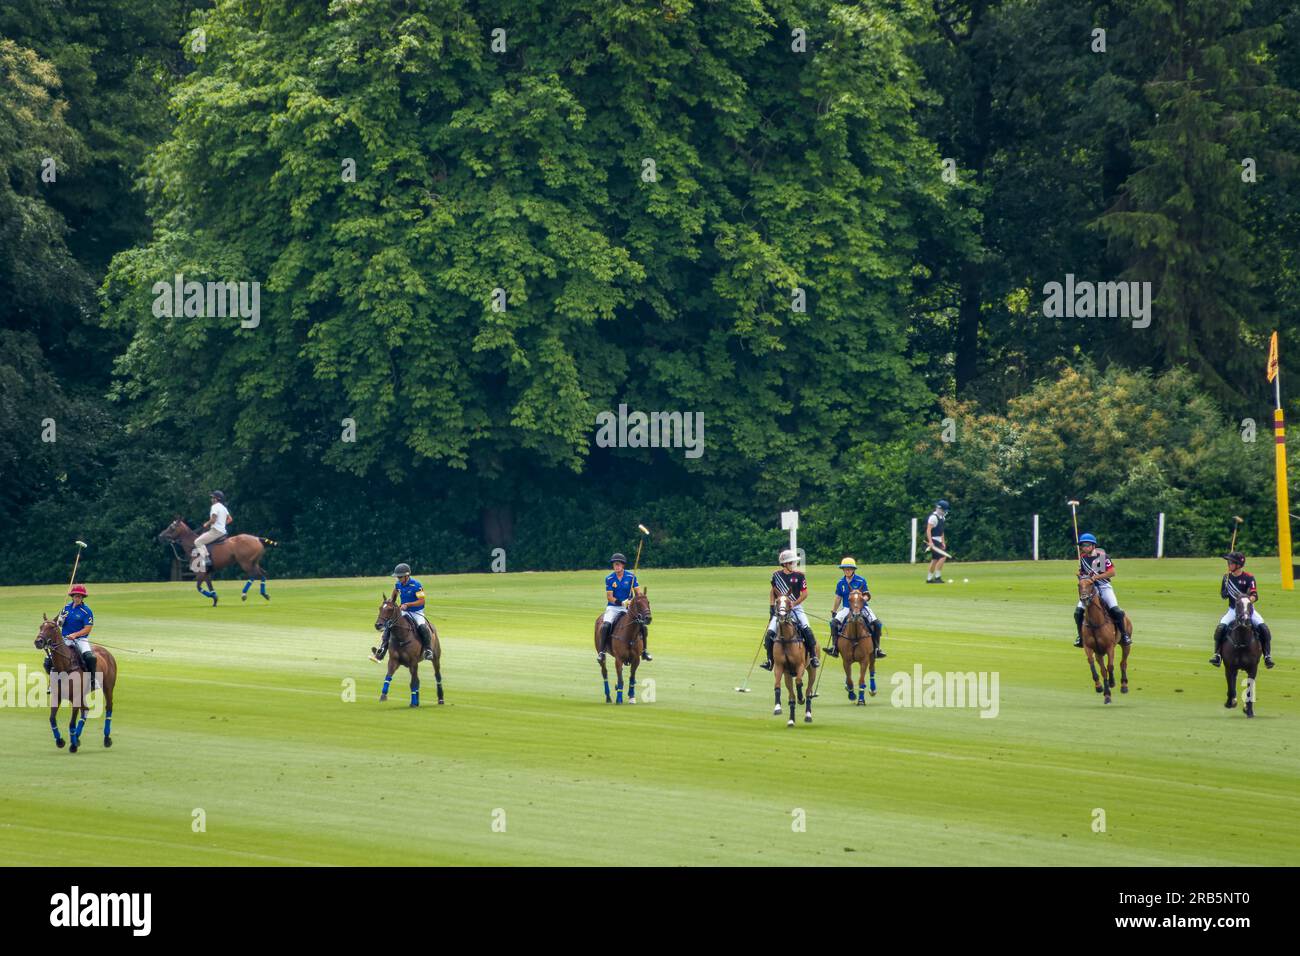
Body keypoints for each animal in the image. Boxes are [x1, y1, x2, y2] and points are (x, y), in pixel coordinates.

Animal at [34, 621, 116, 754]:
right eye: (41, 626)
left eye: (52, 627)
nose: (38, 641)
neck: (64, 666)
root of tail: (106, 652)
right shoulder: (57, 697)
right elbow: (52, 719)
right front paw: (60, 741)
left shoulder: (76, 698)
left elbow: (71, 723)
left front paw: (72, 746)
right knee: (85, 709)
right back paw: (77, 738)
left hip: (108, 687)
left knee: (108, 707)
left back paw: (106, 738)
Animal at [1076, 574, 1128, 702]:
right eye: (1079, 584)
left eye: (1091, 583)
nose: (1084, 598)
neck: (1095, 622)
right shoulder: (1089, 647)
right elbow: (1093, 663)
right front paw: (1099, 687)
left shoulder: (1110, 647)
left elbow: (1110, 666)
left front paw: (1112, 682)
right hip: (1099, 653)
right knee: (1104, 669)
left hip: (1126, 645)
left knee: (1123, 663)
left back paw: (1124, 685)